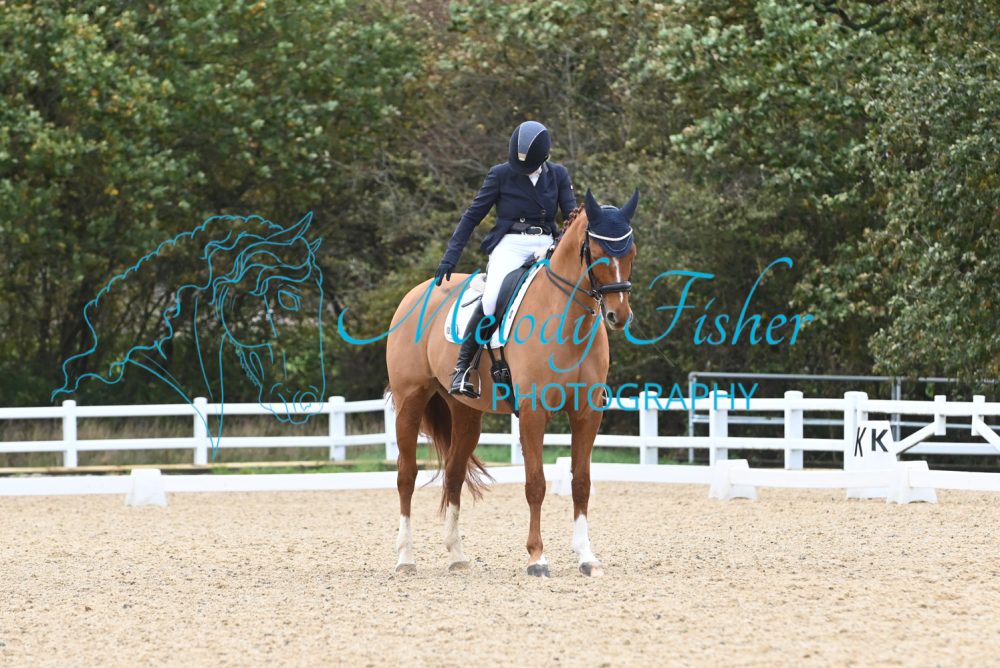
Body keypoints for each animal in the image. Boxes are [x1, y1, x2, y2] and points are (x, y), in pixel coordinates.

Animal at [386, 189, 638, 577]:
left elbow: (581, 483)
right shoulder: (534, 413)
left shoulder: (586, 413)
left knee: (454, 474)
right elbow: (535, 483)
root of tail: (416, 293)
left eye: (631, 252)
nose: (618, 315)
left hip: (465, 412)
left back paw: (457, 556)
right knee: (406, 475)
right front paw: (537, 558)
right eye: (596, 253)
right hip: (410, 400)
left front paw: (586, 557)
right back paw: (405, 559)